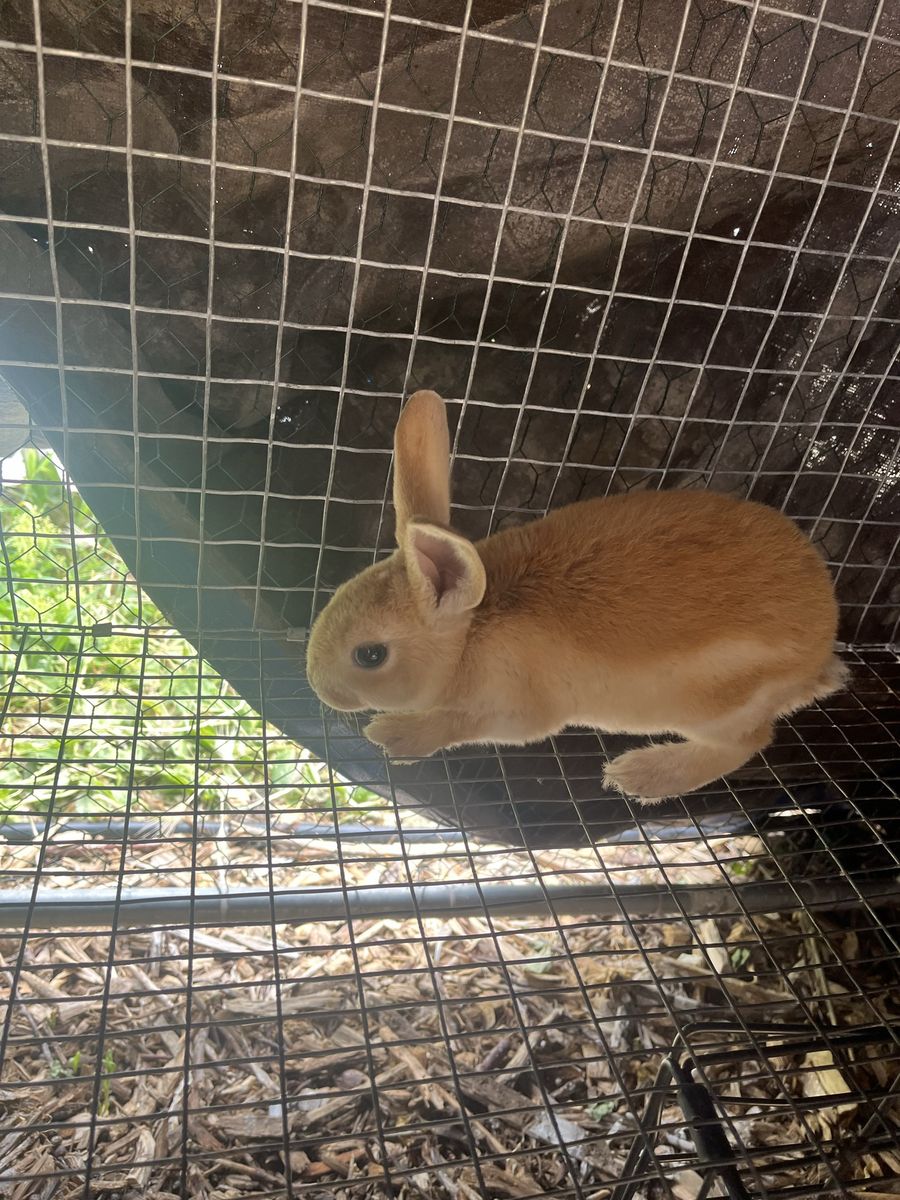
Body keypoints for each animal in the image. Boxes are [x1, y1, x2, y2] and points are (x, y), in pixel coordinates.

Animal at [306, 390, 847, 803]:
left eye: (370, 655)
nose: (319, 688)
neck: (469, 637)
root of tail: (819, 655)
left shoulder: (512, 711)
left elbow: (456, 725)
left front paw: (392, 735)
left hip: (715, 706)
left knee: (748, 742)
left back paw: (639, 776)